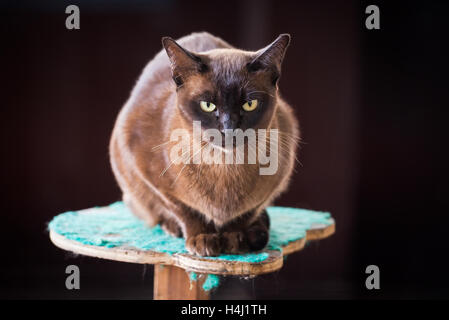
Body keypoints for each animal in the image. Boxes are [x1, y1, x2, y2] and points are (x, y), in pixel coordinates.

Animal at [108, 31, 298, 258]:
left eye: (249, 104)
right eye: (208, 105)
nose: (229, 128)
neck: (225, 165)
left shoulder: (277, 178)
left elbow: (244, 214)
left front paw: (233, 239)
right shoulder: (149, 175)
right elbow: (185, 210)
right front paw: (203, 239)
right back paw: (174, 229)